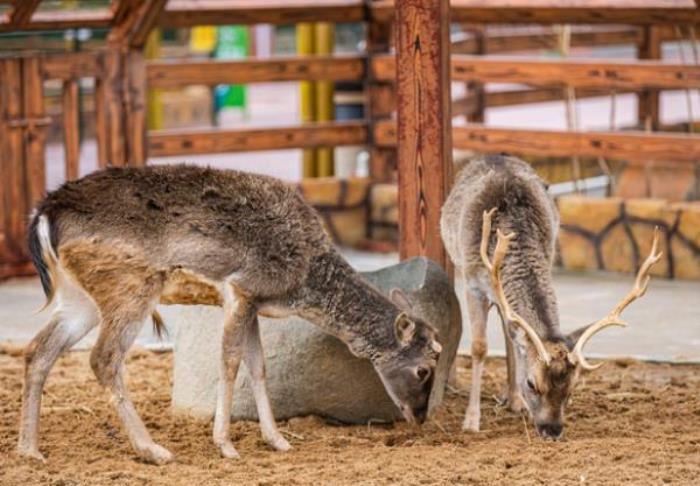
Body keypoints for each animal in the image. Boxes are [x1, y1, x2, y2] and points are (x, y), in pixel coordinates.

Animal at [20, 166, 442, 464]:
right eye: (423, 369)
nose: (420, 416)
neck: (302, 283)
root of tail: (43, 215)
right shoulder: (241, 288)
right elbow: (229, 362)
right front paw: (225, 445)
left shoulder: (255, 303)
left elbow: (258, 365)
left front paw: (279, 441)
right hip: (128, 284)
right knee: (103, 358)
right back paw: (153, 450)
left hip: (79, 298)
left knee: (38, 350)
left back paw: (30, 450)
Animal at [440, 154, 660, 438]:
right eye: (532, 383)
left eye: (572, 388)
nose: (552, 430)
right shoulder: (472, 283)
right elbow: (479, 348)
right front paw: (471, 422)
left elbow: (514, 339)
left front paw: (516, 401)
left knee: (511, 334)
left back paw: (514, 400)